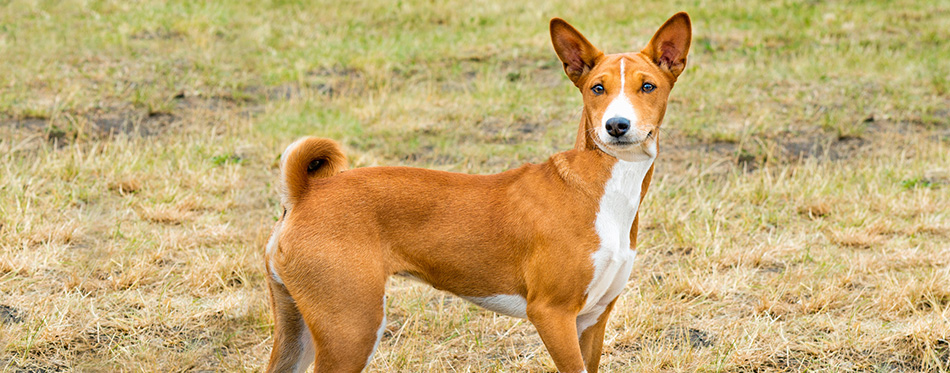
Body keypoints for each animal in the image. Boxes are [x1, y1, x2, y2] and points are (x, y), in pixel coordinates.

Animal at [266, 12, 692, 372]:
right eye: (597, 88)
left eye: (648, 87)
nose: (616, 125)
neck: (600, 191)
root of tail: (304, 193)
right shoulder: (551, 314)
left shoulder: (592, 319)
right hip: (352, 328)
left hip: (298, 330)